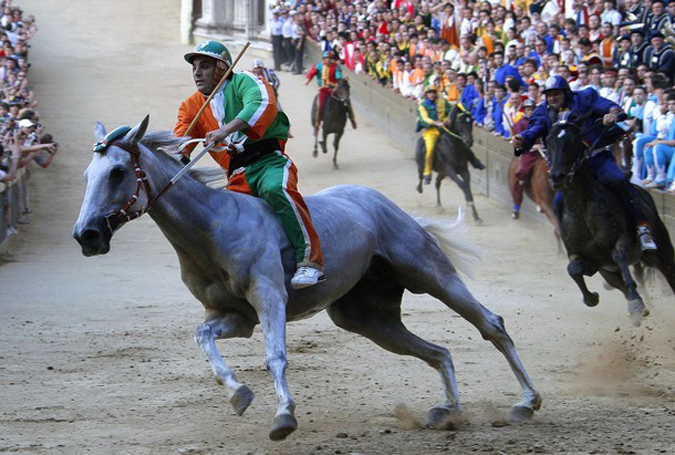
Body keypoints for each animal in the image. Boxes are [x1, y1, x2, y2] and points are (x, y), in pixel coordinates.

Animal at [72, 116, 544, 442]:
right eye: (87, 175)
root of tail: (383, 204)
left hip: (432, 275)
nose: (86, 235)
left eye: (118, 172)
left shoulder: (269, 300)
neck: (212, 227)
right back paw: (448, 411)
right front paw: (239, 395)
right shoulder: (234, 316)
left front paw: (284, 417)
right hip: (367, 318)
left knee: (491, 325)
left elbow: (275, 356)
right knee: (439, 351)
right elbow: (203, 338)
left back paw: (526, 402)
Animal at [548, 114, 672, 326]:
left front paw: (635, 304)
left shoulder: (621, 240)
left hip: (662, 251)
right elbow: (574, 268)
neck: (581, 207)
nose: (557, 176)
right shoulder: (593, 262)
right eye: (549, 140)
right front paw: (592, 297)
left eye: (573, 140)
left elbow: (620, 256)